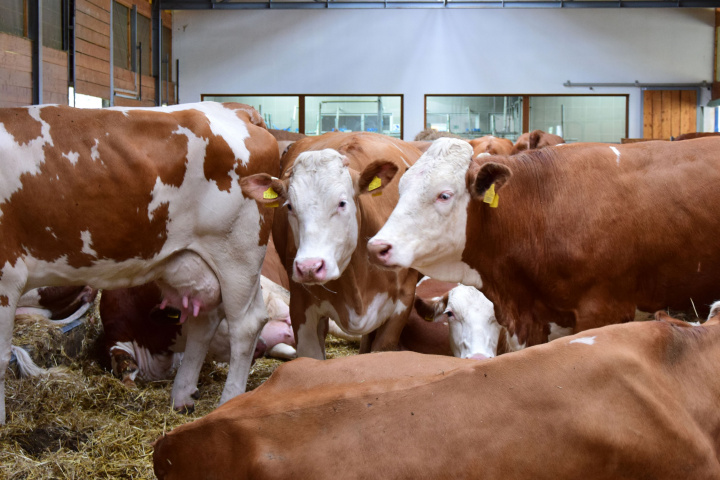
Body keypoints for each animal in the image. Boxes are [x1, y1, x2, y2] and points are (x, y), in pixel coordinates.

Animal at [0, 100, 280, 420]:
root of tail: (237, 108)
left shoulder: (6, 276)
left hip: (238, 256)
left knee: (245, 325)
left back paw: (228, 403)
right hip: (192, 263)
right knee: (204, 319)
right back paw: (182, 395)